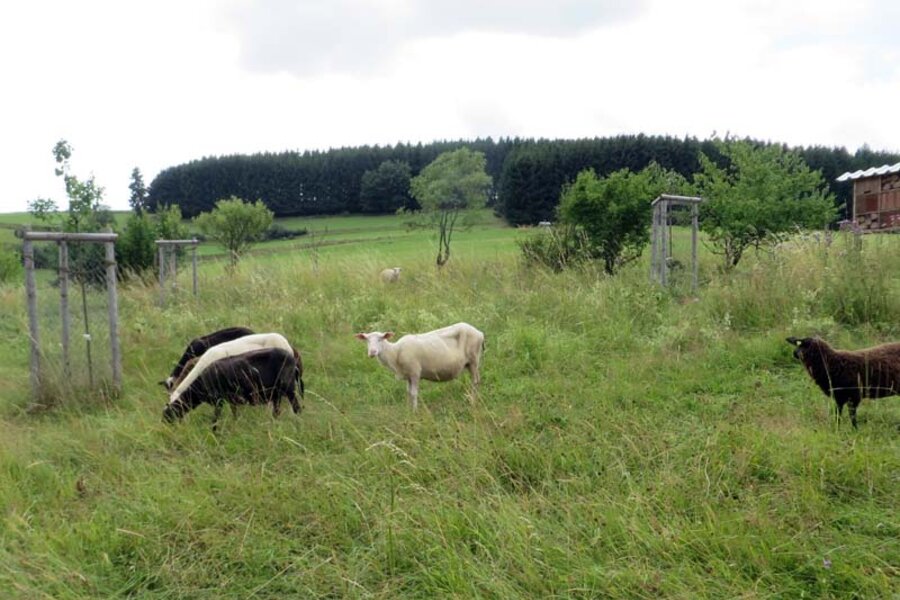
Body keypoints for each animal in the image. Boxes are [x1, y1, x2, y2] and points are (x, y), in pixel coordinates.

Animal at [163, 346, 302, 432]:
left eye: (169, 414)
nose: (166, 426)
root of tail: (292, 359)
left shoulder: (219, 400)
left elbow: (215, 419)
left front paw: (214, 432)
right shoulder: (231, 400)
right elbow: (235, 414)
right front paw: (236, 424)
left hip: (288, 388)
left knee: (297, 409)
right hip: (276, 394)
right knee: (277, 412)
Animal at [356, 322, 488, 410]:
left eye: (381, 339)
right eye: (367, 340)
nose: (372, 352)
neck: (395, 352)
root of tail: (480, 333)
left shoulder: (415, 372)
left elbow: (414, 393)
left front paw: (415, 411)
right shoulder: (408, 375)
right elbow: (408, 392)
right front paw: (408, 409)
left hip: (474, 359)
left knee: (475, 381)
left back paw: (473, 401)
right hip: (471, 362)